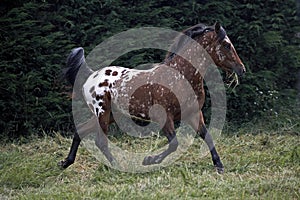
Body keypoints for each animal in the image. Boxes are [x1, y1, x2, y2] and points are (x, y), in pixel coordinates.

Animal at [59, 22, 245, 173]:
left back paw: (66, 162)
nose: (241, 69)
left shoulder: (193, 114)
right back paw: (117, 166)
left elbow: (207, 136)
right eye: (226, 45)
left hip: (110, 115)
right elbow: (174, 144)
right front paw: (148, 160)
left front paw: (219, 166)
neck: (181, 76)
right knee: (100, 141)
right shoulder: (164, 117)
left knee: (81, 130)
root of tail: (91, 76)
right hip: (102, 113)